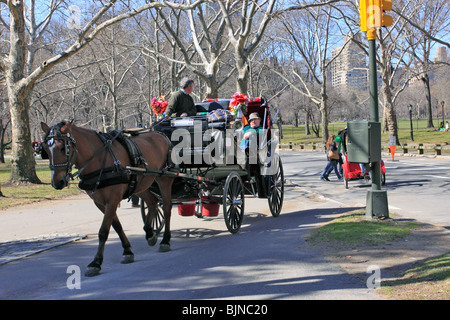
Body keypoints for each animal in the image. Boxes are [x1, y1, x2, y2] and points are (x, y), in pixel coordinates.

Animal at [40, 121, 174, 276]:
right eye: (45, 149)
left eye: (63, 148)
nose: (57, 182)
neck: (98, 159)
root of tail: (160, 135)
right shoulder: (100, 203)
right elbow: (116, 225)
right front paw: (127, 251)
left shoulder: (112, 200)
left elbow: (103, 231)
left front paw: (96, 262)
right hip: (141, 183)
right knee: (152, 202)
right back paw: (150, 232)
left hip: (164, 179)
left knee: (167, 208)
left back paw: (165, 240)